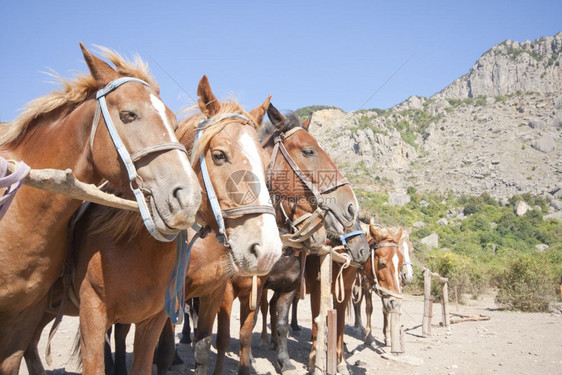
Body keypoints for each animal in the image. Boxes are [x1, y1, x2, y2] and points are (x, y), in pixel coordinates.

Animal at [24, 75, 280, 374]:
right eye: (219, 155)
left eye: (266, 162)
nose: (268, 250)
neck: (135, 245)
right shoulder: (106, 310)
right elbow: (163, 352)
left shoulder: (210, 294)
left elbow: (202, 348)